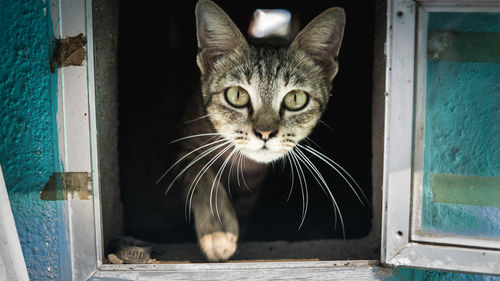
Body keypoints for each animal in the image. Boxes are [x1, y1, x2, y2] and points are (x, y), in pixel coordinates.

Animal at [159, 0, 356, 260]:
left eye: (295, 98)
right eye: (237, 95)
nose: (265, 133)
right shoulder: (182, 149)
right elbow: (202, 178)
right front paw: (218, 231)